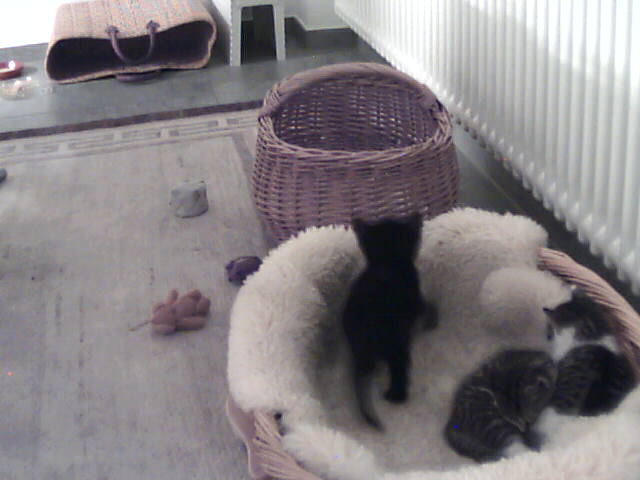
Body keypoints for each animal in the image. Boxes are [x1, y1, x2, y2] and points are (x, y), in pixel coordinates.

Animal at [342, 213, 437, 430]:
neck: (388, 265)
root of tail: (362, 359)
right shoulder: (415, 300)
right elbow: (427, 308)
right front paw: (433, 319)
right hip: (396, 343)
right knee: (399, 369)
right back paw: (396, 395)